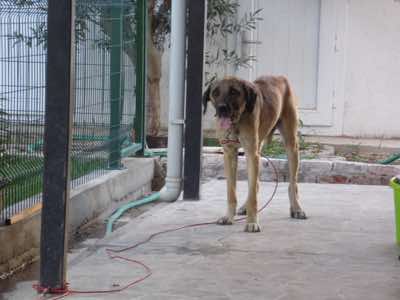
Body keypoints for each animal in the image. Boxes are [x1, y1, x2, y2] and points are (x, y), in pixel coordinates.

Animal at [203, 75, 306, 232]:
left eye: (234, 92)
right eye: (215, 92)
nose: (222, 108)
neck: (236, 123)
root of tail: (280, 77)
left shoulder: (251, 153)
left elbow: (253, 197)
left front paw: (252, 222)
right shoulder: (229, 154)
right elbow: (231, 192)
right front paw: (229, 216)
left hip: (291, 145)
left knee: (292, 184)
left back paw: (297, 208)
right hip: (258, 148)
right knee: (255, 184)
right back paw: (245, 207)